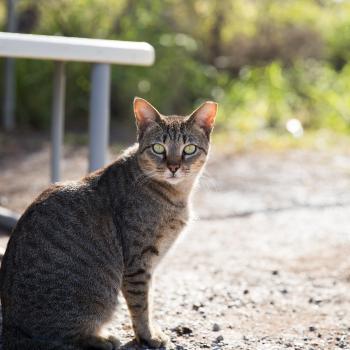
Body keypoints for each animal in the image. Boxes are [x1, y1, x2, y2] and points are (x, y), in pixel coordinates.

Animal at [0, 97, 216, 348]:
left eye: (189, 149)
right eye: (158, 148)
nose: (173, 167)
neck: (176, 194)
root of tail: (10, 325)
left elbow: (148, 301)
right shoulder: (137, 263)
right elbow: (141, 306)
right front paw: (148, 336)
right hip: (98, 297)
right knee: (63, 337)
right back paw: (104, 339)